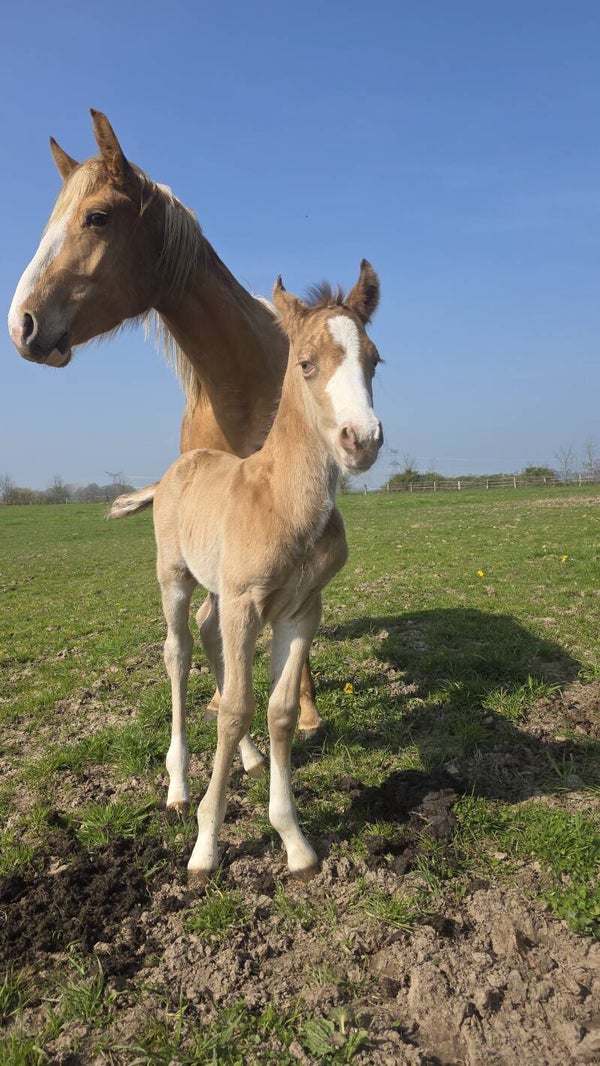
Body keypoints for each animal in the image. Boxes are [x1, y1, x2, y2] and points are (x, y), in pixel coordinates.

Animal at [110, 263, 383, 878]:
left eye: (375, 360)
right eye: (305, 363)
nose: (362, 440)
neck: (283, 500)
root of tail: (174, 470)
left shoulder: (300, 609)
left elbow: (279, 710)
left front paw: (294, 841)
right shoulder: (244, 601)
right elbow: (234, 710)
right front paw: (206, 845)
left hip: (223, 596)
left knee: (209, 636)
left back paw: (251, 760)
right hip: (176, 578)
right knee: (179, 651)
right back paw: (178, 789)